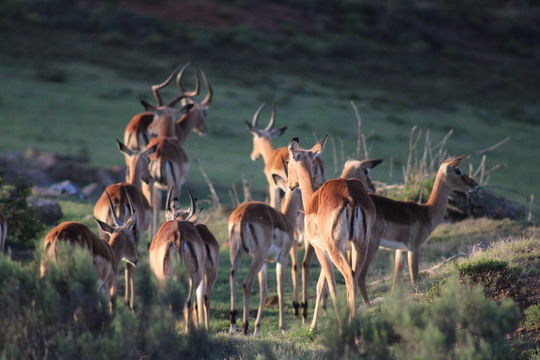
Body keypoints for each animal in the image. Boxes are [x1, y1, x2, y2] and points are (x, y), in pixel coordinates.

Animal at [149, 190, 208, 334]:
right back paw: (188, 330)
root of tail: (179, 236)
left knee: (171, 302)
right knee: (188, 302)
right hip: (194, 276)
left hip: (167, 276)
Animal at [227, 187, 298, 336]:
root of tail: (243, 214)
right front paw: (283, 327)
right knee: (246, 283)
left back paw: (233, 326)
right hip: (257, 257)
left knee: (233, 279)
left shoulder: (265, 263)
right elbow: (280, 289)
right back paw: (245, 326)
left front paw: (257, 329)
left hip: (236, 254)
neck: (286, 220)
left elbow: (263, 290)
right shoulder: (282, 259)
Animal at [282, 136, 376, 330]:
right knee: (355, 276)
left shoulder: (320, 250)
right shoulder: (341, 249)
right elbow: (322, 284)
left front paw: (313, 326)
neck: (312, 199)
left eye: (289, 162)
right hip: (360, 245)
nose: (289, 184)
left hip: (335, 249)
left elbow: (325, 286)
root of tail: (350, 197)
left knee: (347, 276)